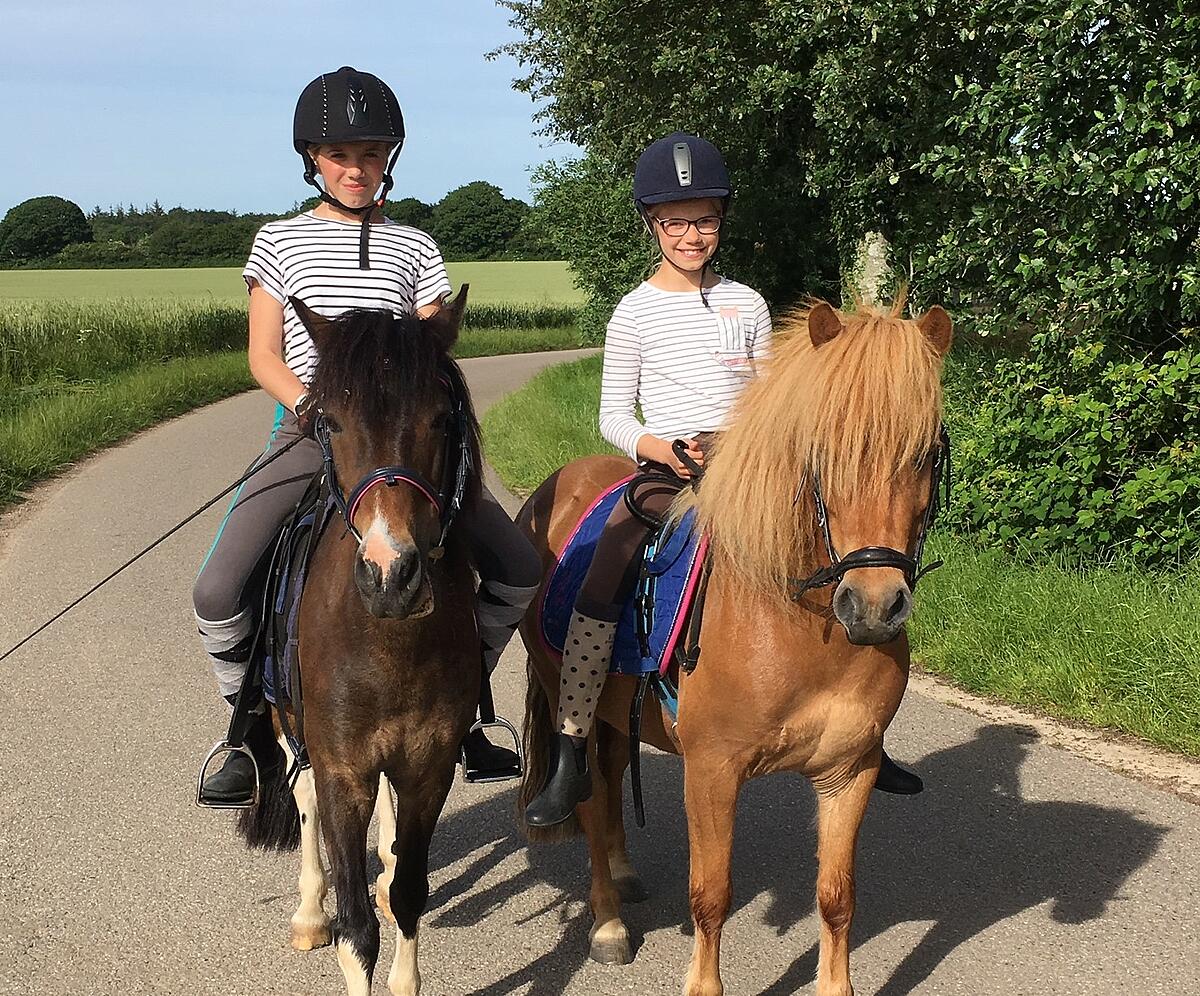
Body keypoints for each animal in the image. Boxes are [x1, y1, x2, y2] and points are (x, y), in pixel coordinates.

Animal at [238, 290, 482, 996]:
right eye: (332, 423)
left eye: (440, 419)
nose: (390, 574)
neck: (389, 641)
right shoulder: (343, 769)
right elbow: (356, 930)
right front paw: (335, 917)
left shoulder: (428, 766)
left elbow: (407, 893)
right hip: (292, 728)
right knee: (302, 801)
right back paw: (308, 913)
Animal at [516, 298, 955, 996]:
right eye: (821, 450)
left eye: (927, 452)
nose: (874, 607)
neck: (795, 622)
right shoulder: (712, 772)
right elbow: (711, 895)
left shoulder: (849, 771)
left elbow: (837, 896)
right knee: (587, 795)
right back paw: (608, 922)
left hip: (617, 713)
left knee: (610, 779)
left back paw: (623, 873)